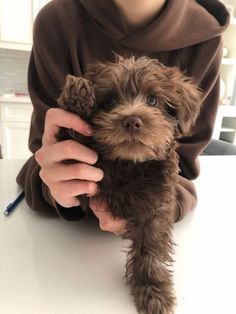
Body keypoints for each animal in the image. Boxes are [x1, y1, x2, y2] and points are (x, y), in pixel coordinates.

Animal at [56, 56, 201, 314]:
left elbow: (150, 247)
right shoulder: (84, 171)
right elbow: (73, 141)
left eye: (153, 100)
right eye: (111, 101)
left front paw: (152, 290)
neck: (130, 164)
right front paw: (76, 100)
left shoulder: (157, 205)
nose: (132, 120)